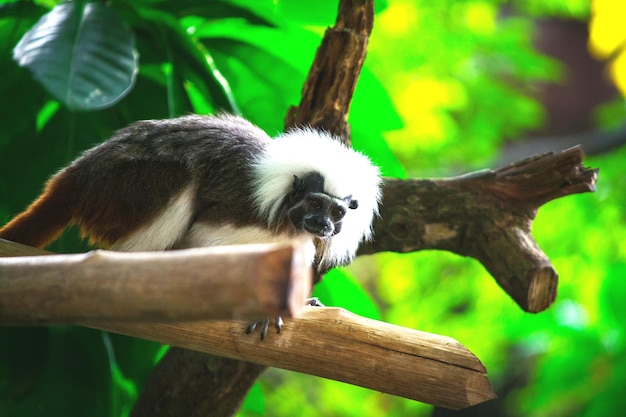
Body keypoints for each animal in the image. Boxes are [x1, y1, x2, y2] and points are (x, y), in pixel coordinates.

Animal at [1, 114, 380, 338]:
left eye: (337, 212)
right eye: (315, 204)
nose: (322, 225)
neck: (287, 218)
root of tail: (80, 172)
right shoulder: (240, 213)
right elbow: (202, 250)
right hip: (121, 185)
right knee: (179, 180)